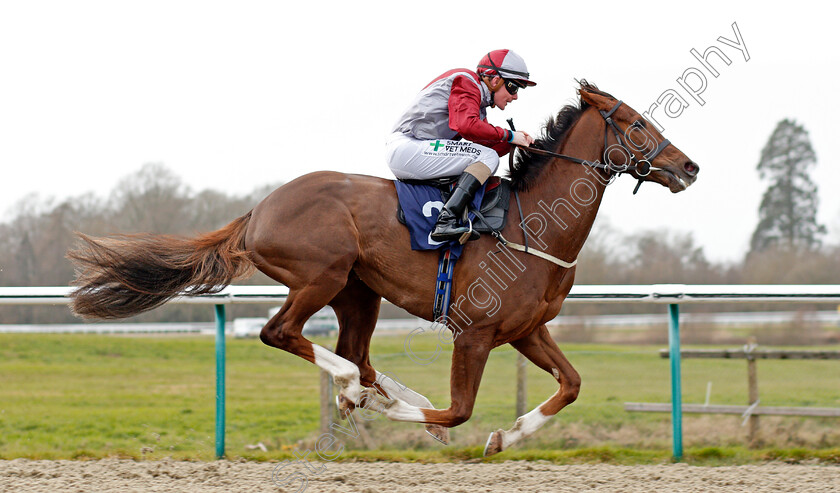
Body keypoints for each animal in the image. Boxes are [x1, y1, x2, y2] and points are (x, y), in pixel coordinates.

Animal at [69, 80, 700, 454]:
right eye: (637, 123)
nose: (690, 167)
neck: (530, 225)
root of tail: (260, 209)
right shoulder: (474, 334)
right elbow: (457, 412)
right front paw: (418, 414)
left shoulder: (525, 330)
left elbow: (570, 384)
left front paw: (507, 434)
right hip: (322, 273)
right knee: (286, 335)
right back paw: (359, 389)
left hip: (359, 292)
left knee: (357, 354)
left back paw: (372, 389)